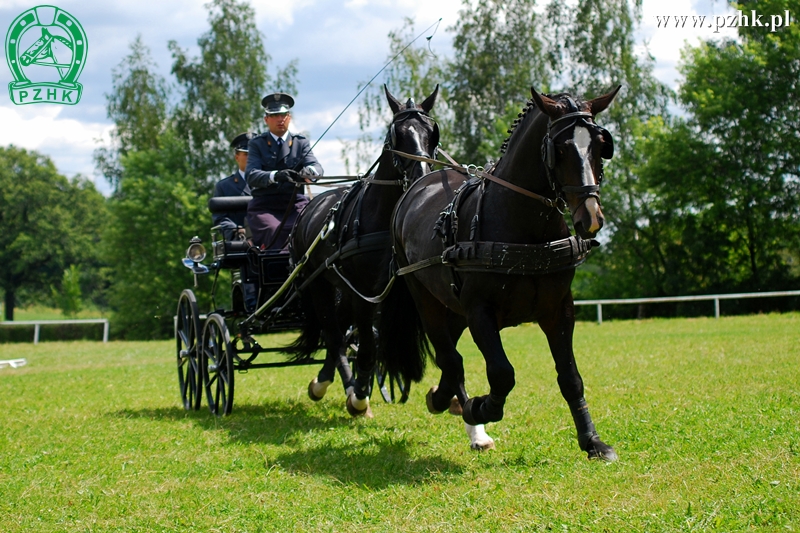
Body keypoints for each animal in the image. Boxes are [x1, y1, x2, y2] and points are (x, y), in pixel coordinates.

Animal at [286, 84, 438, 416]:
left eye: (432, 132)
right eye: (396, 134)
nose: (421, 176)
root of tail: (310, 207)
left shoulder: (386, 289)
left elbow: (375, 342)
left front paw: (362, 389)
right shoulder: (363, 292)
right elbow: (367, 344)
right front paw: (359, 398)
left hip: (341, 286)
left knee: (340, 332)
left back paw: (329, 382)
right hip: (320, 284)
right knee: (333, 335)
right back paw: (337, 387)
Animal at [378, 87, 620, 458]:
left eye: (599, 143)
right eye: (561, 148)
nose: (590, 216)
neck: (524, 228)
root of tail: (420, 182)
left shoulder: (559, 310)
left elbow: (570, 377)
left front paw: (592, 441)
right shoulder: (480, 311)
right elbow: (502, 373)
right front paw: (481, 408)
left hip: (453, 307)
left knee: (450, 357)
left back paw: (446, 401)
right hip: (426, 300)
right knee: (450, 356)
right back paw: (464, 414)